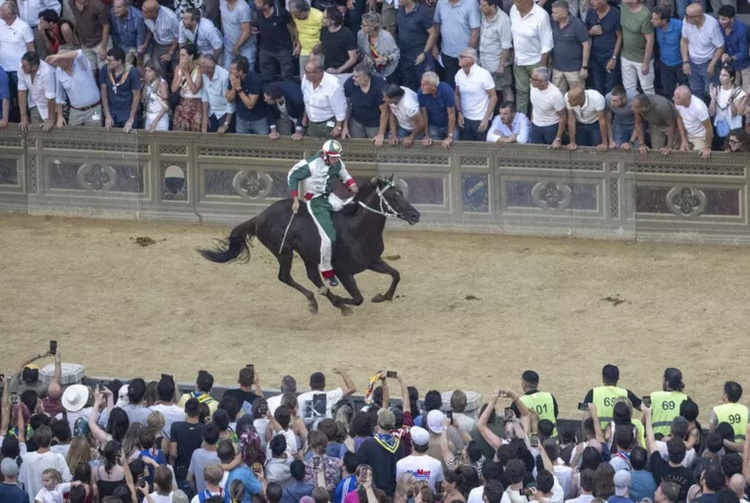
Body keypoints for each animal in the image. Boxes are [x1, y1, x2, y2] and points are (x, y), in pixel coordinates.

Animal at [197, 176, 421, 316]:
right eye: (391, 197)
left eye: (401, 193)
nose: (415, 215)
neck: (358, 231)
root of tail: (260, 217)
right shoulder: (343, 271)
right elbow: (357, 298)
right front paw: (341, 300)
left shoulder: (373, 261)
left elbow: (395, 274)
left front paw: (383, 296)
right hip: (284, 252)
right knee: (285, 277)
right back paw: (317, 301)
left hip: (306, 254)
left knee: (312, 276)